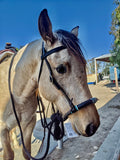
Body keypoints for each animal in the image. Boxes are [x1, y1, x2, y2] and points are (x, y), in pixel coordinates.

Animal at [0, 9, 100, 160]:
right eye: (61, 69)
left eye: (84, 63)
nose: (92, 125)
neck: (16, 94)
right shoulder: (2, 129)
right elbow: (8, 154)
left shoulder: (28, 124)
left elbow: (26, 152)